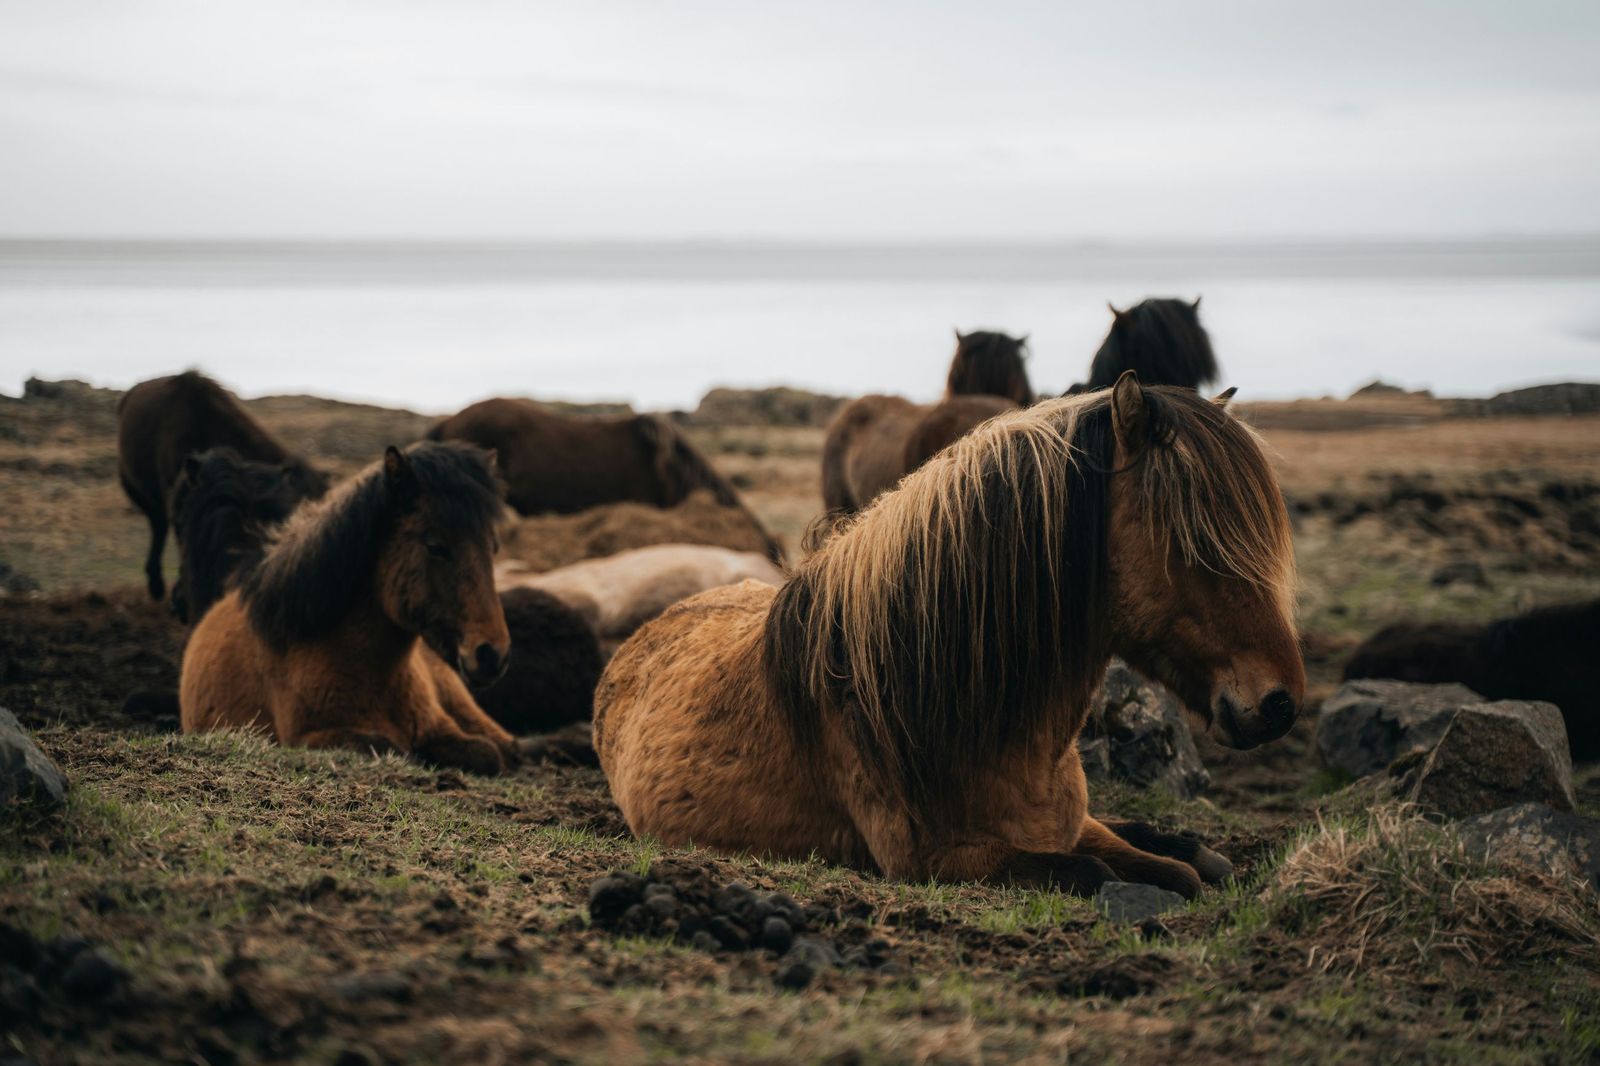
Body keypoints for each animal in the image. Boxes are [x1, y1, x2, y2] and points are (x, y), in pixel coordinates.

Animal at [180, 442, 522, 774]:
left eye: (493, 547)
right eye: (436, 546)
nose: (492, 654)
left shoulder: (441, 727)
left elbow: (487, 754)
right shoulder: (306, 739)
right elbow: (392, 747)